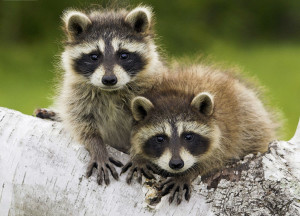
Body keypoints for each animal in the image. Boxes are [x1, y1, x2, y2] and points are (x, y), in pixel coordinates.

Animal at [36, 6, 165, 186]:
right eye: (94, 56)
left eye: (123, 55)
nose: (109, 79)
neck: (110, 92)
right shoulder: (76, 93)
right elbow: (81, 122)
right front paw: (96, 146)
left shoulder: (150, 88)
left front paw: (139, 156)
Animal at [122, 62, 278, 204]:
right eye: (160, 138)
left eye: (188, 136)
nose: (176, 164)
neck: (175, 93)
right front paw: (138, 157)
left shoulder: (226, 136)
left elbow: (215, 160)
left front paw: (188, 173)